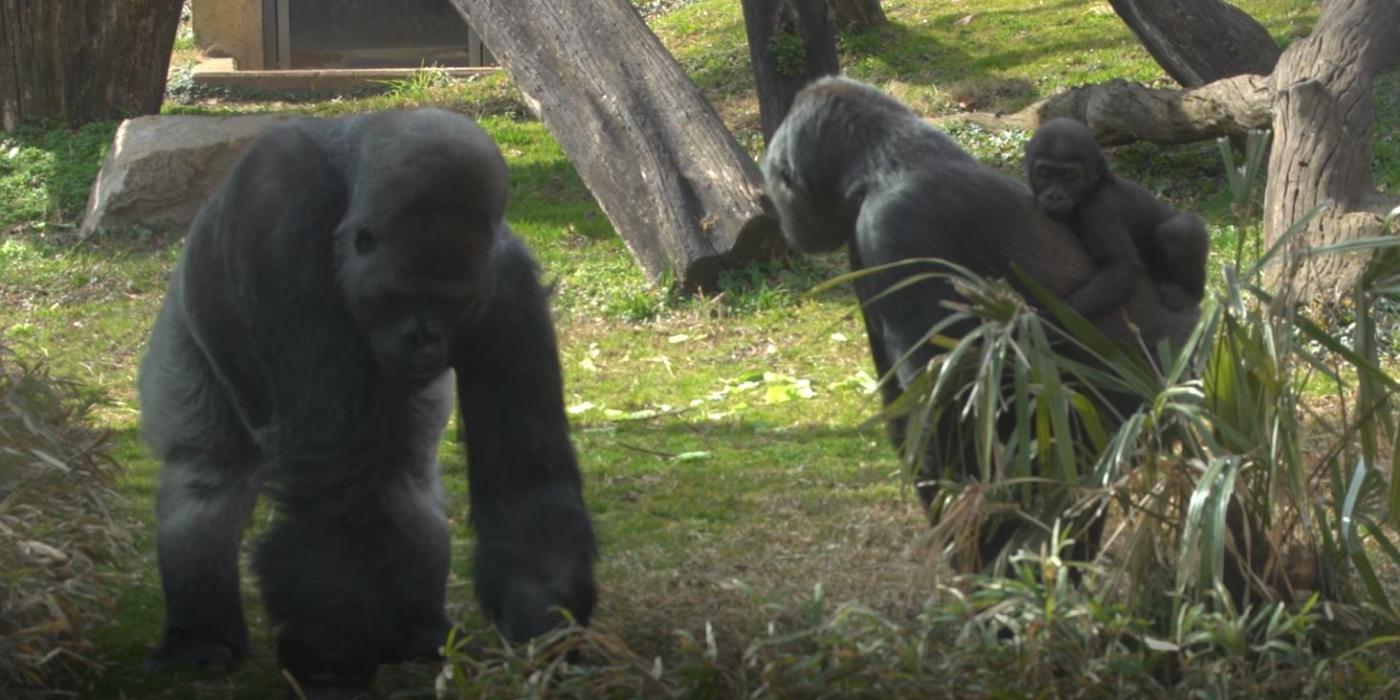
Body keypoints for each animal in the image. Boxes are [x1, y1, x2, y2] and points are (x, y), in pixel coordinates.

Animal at [140, 109, 596, 694]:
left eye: (449, 303)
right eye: (402, 294)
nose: (423, 338)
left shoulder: (507, 286)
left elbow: (527, 487)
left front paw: (546, 639)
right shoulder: (280, 217)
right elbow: (328, 483)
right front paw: (331, 666)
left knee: (404, 476)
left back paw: (416, 631)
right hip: (185, 330)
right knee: (206, 477)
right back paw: (199, 638)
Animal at [1024, 118, 1209, 320]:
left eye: (1070, 176)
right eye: (1046, 173)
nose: (1055, 196)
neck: (1095, 186)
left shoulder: (1100, 209)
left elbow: (1122, 265)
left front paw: (1052, 318)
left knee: (1180, 230)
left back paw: (1190, 294)